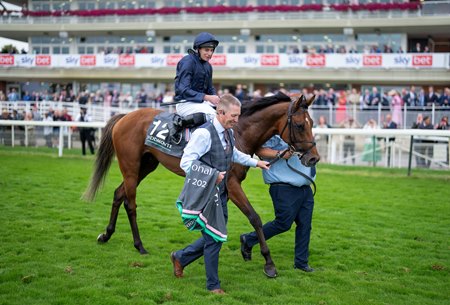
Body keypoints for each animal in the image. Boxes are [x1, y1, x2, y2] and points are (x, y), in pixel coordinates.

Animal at [82, 91, 318, 276]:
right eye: (299, 125)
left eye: (312, 123)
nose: (313, 158)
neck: (239, 131)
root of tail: (125, 116)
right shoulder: (232, 185)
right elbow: (255, 218)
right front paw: (268, 263)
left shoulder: (226, 186)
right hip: (130, 166)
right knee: (130, 203)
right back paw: (139, 246)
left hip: (146, 166)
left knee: (118, 193)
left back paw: (106, 234)